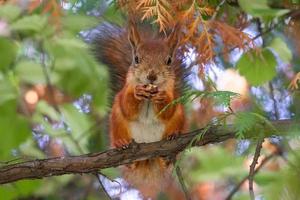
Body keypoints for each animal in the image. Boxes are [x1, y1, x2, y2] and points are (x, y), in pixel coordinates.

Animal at [93, 21, 188, 199]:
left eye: (169, 60)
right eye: (136, 59)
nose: (152, 76)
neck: (149, 97)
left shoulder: (175, 97)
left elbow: (169, 110)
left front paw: (162, 98)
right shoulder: (123, 93)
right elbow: (126, 105)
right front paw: (137, 93)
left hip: (180, 119)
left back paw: (169, 145)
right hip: (117, 122)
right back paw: (123, 146)